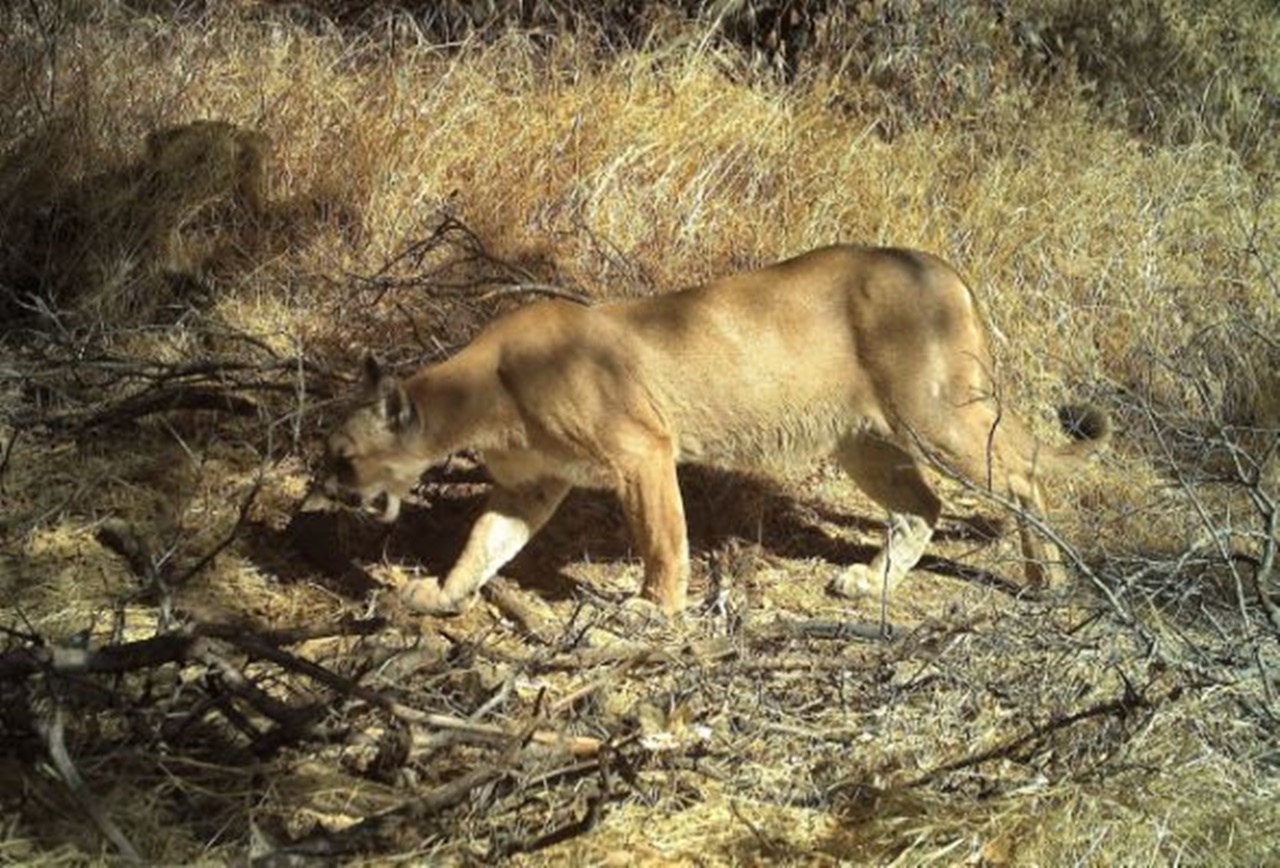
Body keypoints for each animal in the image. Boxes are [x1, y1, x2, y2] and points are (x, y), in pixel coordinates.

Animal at [314, 247, 1105, 619]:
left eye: (344, 457)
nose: (327, 488)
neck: (482, 393)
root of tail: (940, 264)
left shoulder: (642, 449)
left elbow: (662, 536)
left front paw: (653, 607)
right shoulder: (530, 486)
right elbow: (484, 545)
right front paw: (439, 595)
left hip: (933, 413)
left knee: (1020, 474)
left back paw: (1052, 580)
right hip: (864, 439)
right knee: (923, 507)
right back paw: (868, 580)